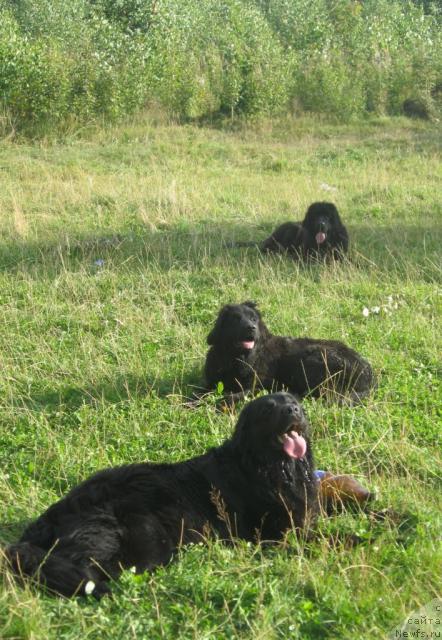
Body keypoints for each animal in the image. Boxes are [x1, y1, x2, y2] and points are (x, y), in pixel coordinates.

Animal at [6, 390, 318, 600]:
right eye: (268, 409)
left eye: (294, 402)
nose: (293, 410)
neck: (270, 467)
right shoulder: (276, 531)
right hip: (145, 539)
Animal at [205, 302, 374, 402]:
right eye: (236, 319)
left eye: (254, 319)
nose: (251, 328)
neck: (236, 358)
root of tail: (370, 376)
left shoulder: (258, 385)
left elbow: (228, 398)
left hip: (314, 357)